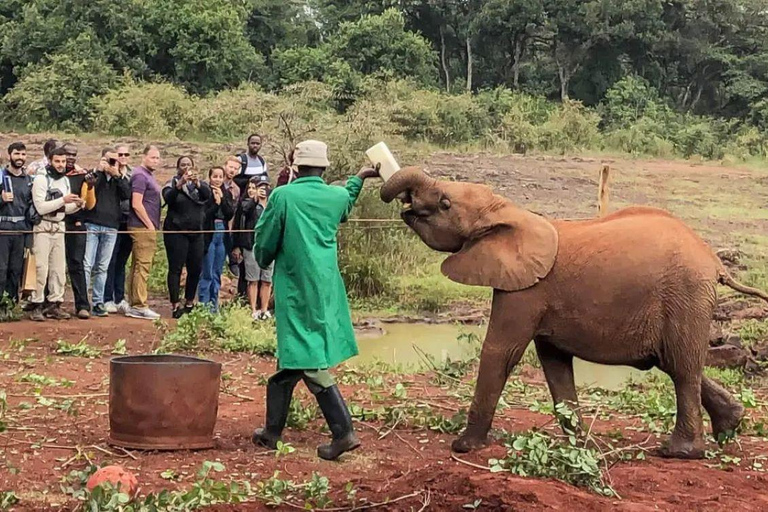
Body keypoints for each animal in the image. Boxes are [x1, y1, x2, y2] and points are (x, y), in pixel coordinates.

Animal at [380, 168, 768, 460]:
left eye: (445, 204)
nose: (403, 199)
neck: (508, 211)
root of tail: (715, 260)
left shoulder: (525, 291)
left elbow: (501, 352)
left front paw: (463, 447)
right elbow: (554, 364)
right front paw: (581, 446)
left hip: (685, 295)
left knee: (682, 368)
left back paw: (678, 452)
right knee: (673, 362)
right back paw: (729, 427)